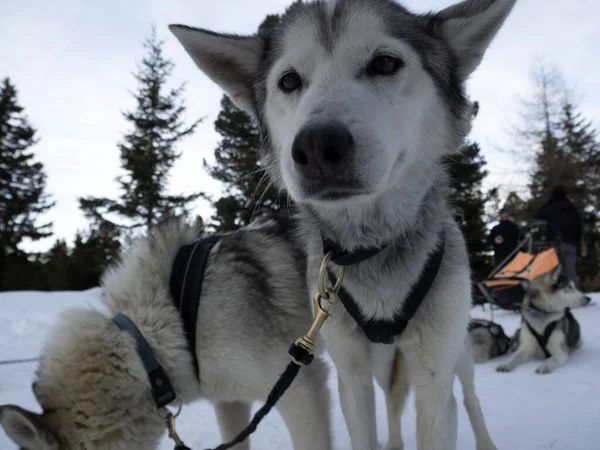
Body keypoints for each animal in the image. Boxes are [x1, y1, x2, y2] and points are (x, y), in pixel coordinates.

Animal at [168, 0, 516, 450]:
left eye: (385, 63)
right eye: (289, 80)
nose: (316, 145)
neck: (372, 246)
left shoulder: (435, 379)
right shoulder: (352, 376)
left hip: (456, 354)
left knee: (470, 397)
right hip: (384, 367)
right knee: (393, 407)